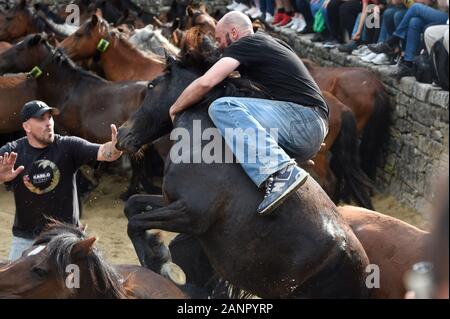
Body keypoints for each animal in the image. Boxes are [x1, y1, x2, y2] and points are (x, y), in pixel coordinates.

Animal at [115, 54, 370, 300]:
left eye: (151, 85)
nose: (121, 135)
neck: (204, 142)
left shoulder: (190, 215)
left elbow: (134, 223)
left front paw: (156, 261)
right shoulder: (171, 201)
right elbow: (132, 205)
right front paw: (156, 249)